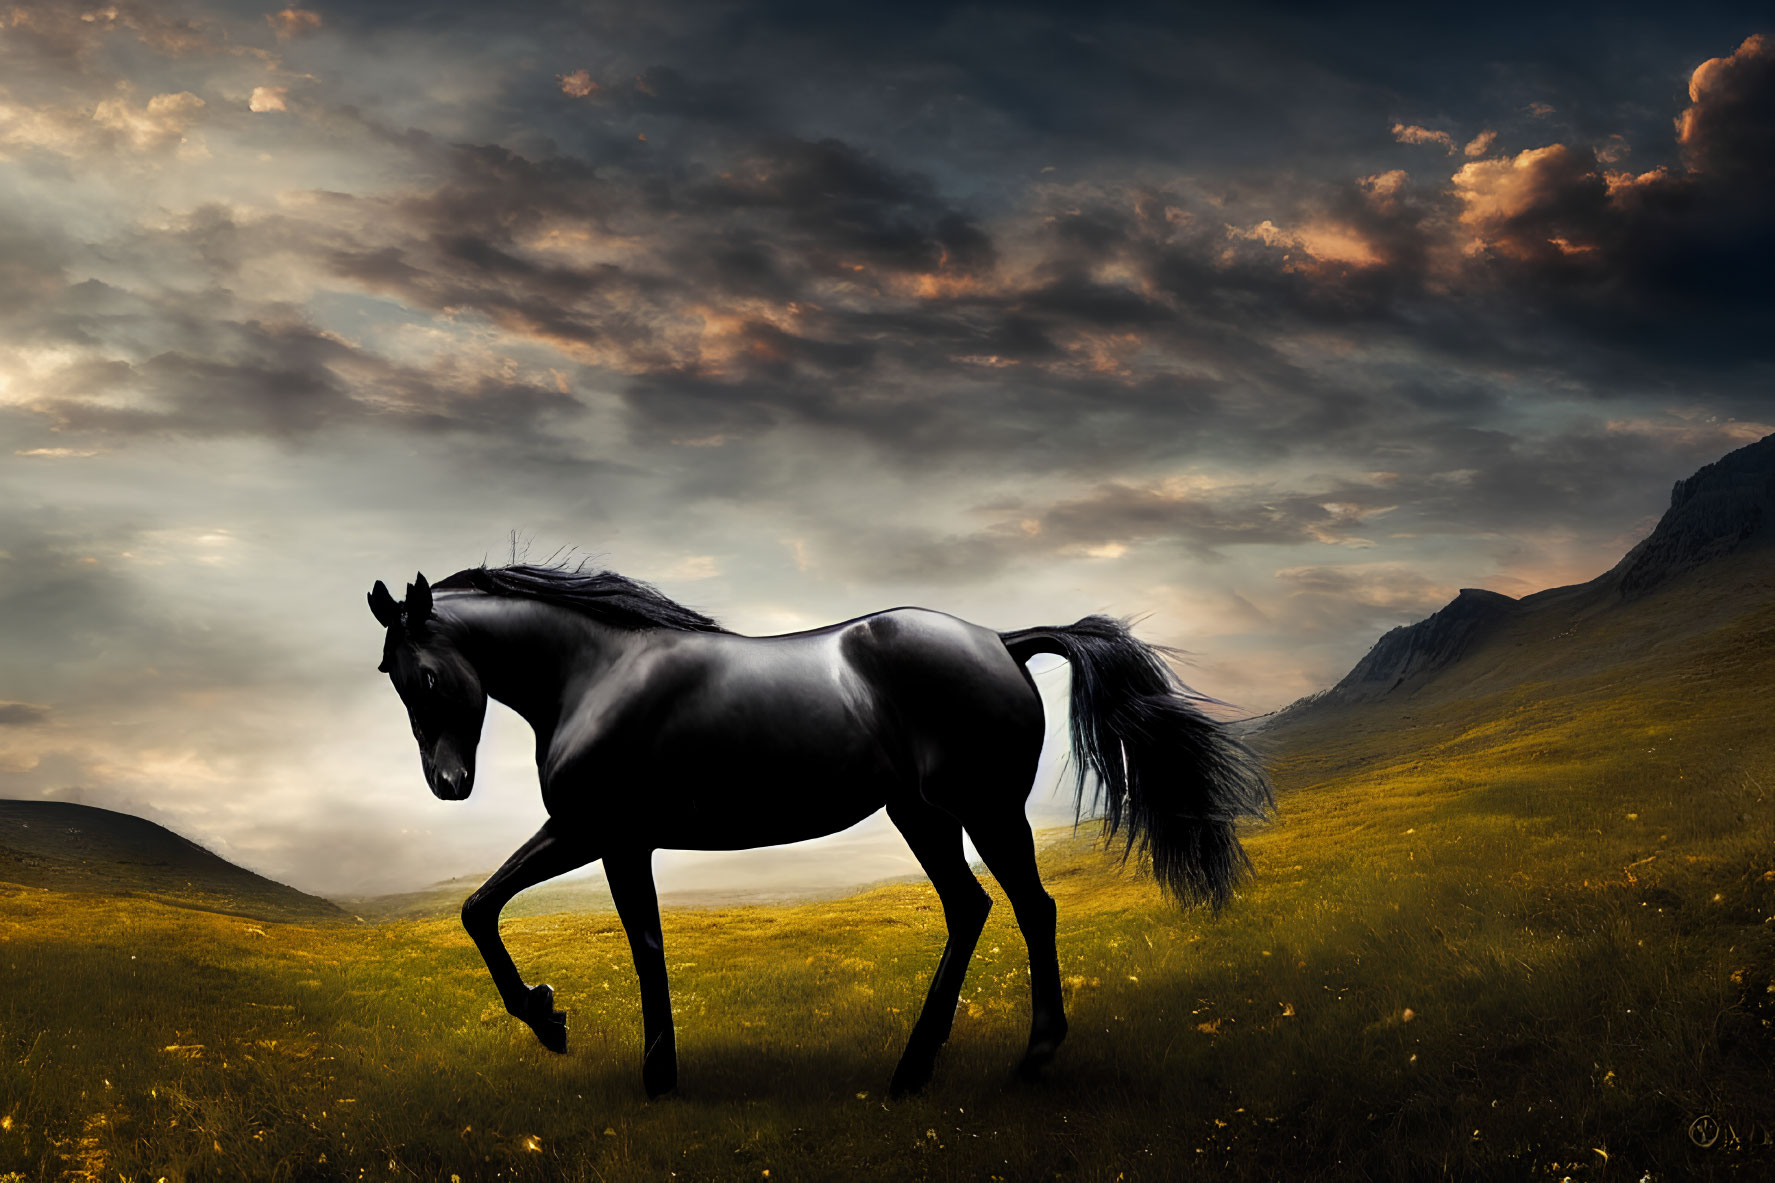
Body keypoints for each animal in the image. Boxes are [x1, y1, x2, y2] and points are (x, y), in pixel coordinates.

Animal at [367, 561, 1270, 1094]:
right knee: (971, 908)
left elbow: (611, 937)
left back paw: (1031, 1056)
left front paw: (612, 1053)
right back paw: (912, 1067)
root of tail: (1001, 640)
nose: (447, 785)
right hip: (922, 816)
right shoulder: (601, 836)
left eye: (425, 674)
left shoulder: (603, 834)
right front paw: (562, 1023)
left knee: (1030, 907)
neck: (598, 673)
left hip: (984, 809)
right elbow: (487, 907)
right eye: (388, 673)